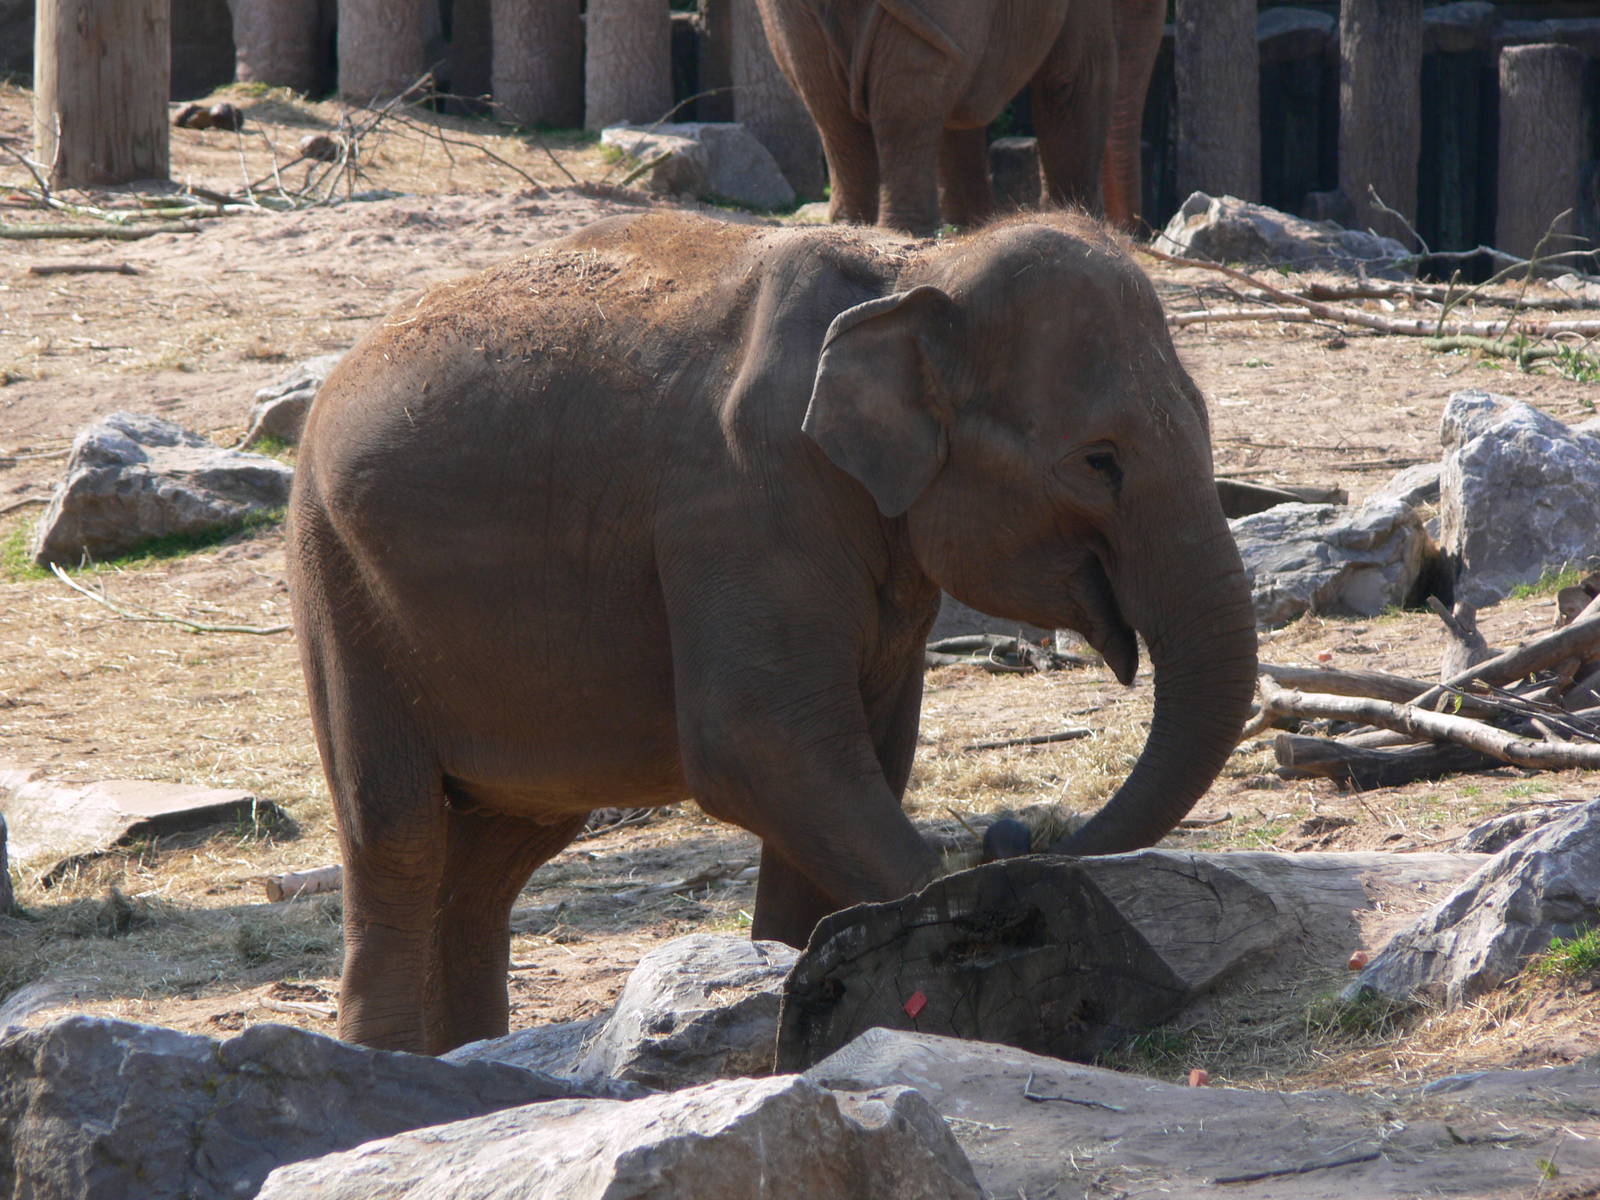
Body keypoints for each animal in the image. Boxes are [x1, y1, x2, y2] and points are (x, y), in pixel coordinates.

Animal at [288, 209, 1258, 1054]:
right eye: (1099, 461)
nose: (1020, 837)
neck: (913, 269)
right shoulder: (743, 506)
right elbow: (764, 746)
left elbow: (853, 762)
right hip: (335, 580)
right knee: (397, 833)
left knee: (494, 860)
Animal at [752, 0, 1166, 235]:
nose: (1135, 234)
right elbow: (1073, 79)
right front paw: (1078, 226)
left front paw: (973, 226)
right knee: (905, 101)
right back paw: (903, 232)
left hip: (789, 17)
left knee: (829, 103)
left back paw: (856, 227)